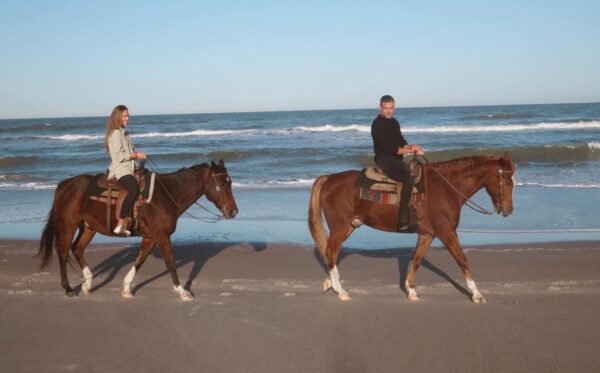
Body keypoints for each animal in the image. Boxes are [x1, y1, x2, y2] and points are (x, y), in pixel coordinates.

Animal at [36, 159, 239, 300]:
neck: (165, 196)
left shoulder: (150, 237)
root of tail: (63, 186)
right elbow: (170, 263)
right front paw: (182, 291)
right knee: (63, 253)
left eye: (230, 183)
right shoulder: (162, 237)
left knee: (77, 248)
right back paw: (69, 288)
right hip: (68, 226)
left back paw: (87, 282)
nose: (233, 211)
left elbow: (139, 260)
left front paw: (126, 288)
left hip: (88, 228)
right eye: (221, 185)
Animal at [310, 153, 516, 300]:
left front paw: (411, 290)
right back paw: (341, 291)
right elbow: (462, 260)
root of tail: (328, 179)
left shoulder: (427, 234)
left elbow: (416, 260)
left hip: (350, 225)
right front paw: (477, 294)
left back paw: (331, 283)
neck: (446, 188)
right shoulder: (447, 232)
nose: (508, 210)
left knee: (332, 252)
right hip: (340, 226)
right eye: (507, 181)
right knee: (331, 251)